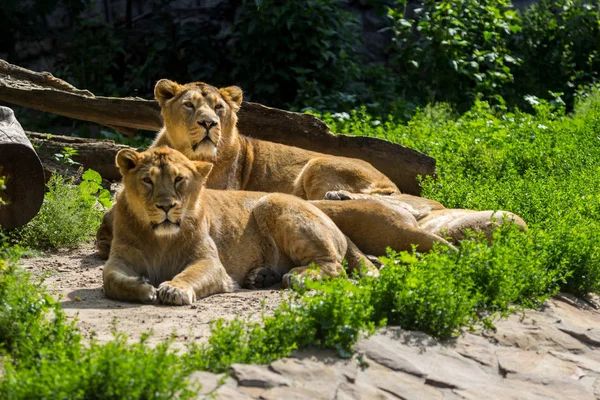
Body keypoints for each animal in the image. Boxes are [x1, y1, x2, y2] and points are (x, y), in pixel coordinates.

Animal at [103, 146, 380, 304]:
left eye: (179, 179)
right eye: (147, 180)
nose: (165, 206)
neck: (160, 239)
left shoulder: (211, 263)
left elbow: (189, 274)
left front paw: (173, 289)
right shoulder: (121, 258)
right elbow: (110, 279)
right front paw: (142, 288)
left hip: (273, 201)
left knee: (334, 265)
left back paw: (298, 276)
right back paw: (260, 277)